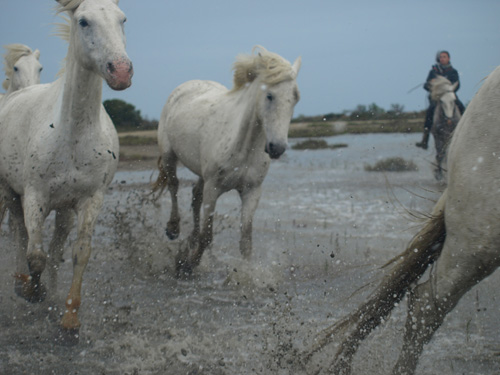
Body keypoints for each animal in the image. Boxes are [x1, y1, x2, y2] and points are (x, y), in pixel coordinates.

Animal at [0, 0, 133, 340]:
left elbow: (78, 252)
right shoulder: (34, 196)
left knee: (56, 243)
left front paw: (70, 316)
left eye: (122, 19)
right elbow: (35, 255)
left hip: (63, 209)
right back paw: (21, 284)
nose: (121, 70)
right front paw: (32, 292)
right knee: (19, 234)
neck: (72, 133)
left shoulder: (90, 199)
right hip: (11, 193)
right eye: (83, 21)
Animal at [152, 47, 300, 276]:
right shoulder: (213, 188)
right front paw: (188, 265)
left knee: (195, 196)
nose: (277, 147)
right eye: (269, 95)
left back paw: (189, 239)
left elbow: (246, 241)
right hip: (169, 155)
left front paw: (245, 275)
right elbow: (207, 235)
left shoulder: (251, 191)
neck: (243, 146)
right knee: (174, 185)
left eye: (295, 98)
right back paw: (173, 228)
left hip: (202, 173)